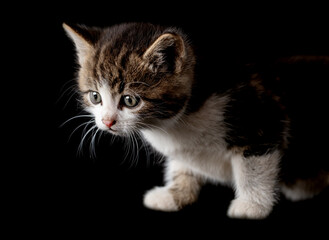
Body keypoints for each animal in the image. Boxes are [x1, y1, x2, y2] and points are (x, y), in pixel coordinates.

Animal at [63, 22, 328, 219]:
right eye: (95, 97)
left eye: (130, 100)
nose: (107, 122)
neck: (175, 122)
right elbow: (182, 164)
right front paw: (174, 194)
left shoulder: (260, 116)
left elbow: (254, 165)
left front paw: (251, 206)